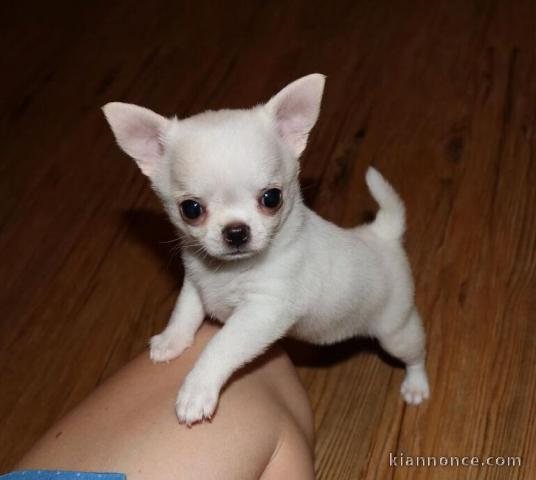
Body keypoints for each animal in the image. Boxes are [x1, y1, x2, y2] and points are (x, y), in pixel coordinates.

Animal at [102, 74, 432, 424]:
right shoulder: (195, 283)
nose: (236, 231)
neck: (226, 272)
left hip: (396, 331)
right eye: (190, 209)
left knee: (416, 353)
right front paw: (171, 340)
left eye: (271, 198)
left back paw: (416, 385)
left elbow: (221, 345)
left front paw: (196, 390)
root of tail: (381, 233)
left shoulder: (262, 311)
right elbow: (185, 311)